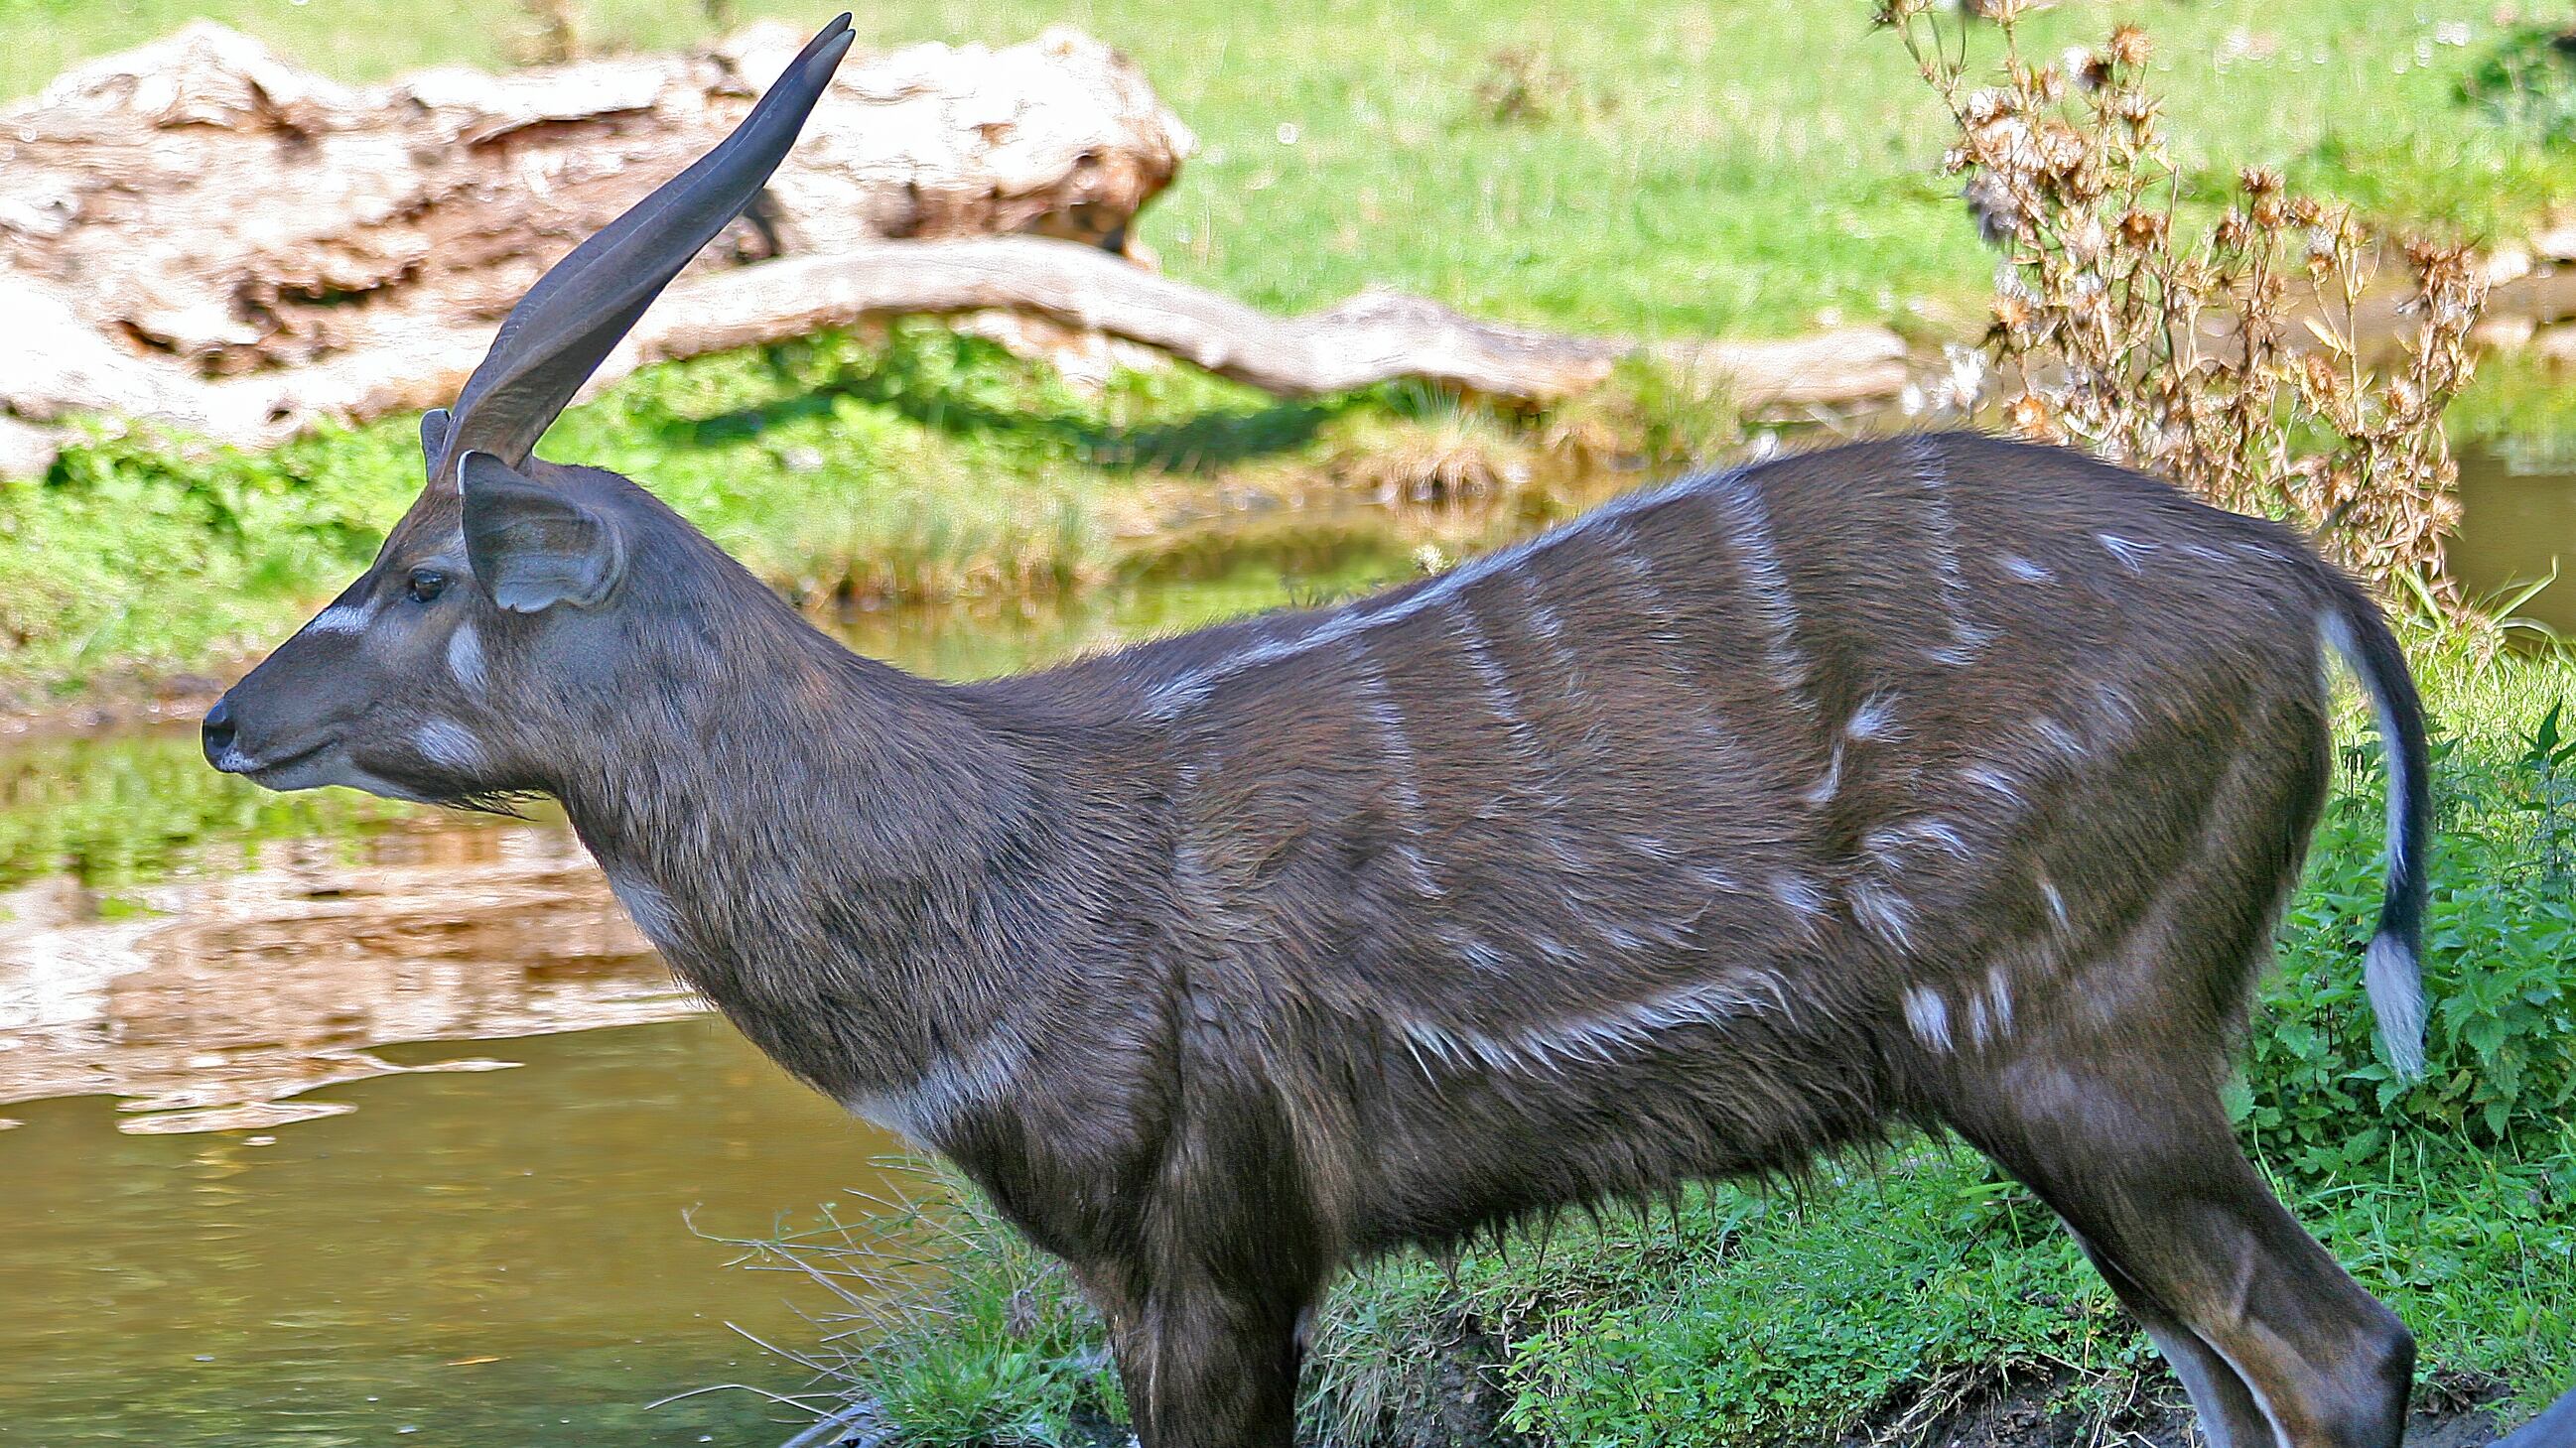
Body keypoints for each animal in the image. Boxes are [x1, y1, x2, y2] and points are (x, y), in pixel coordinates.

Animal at [201, 16, 2576, 1448]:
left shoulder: (1208, 1229)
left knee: (2340, 1351)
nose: (229, 717)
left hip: (2067, 1028)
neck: (988, 880)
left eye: (420, 574)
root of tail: (2291, 581)